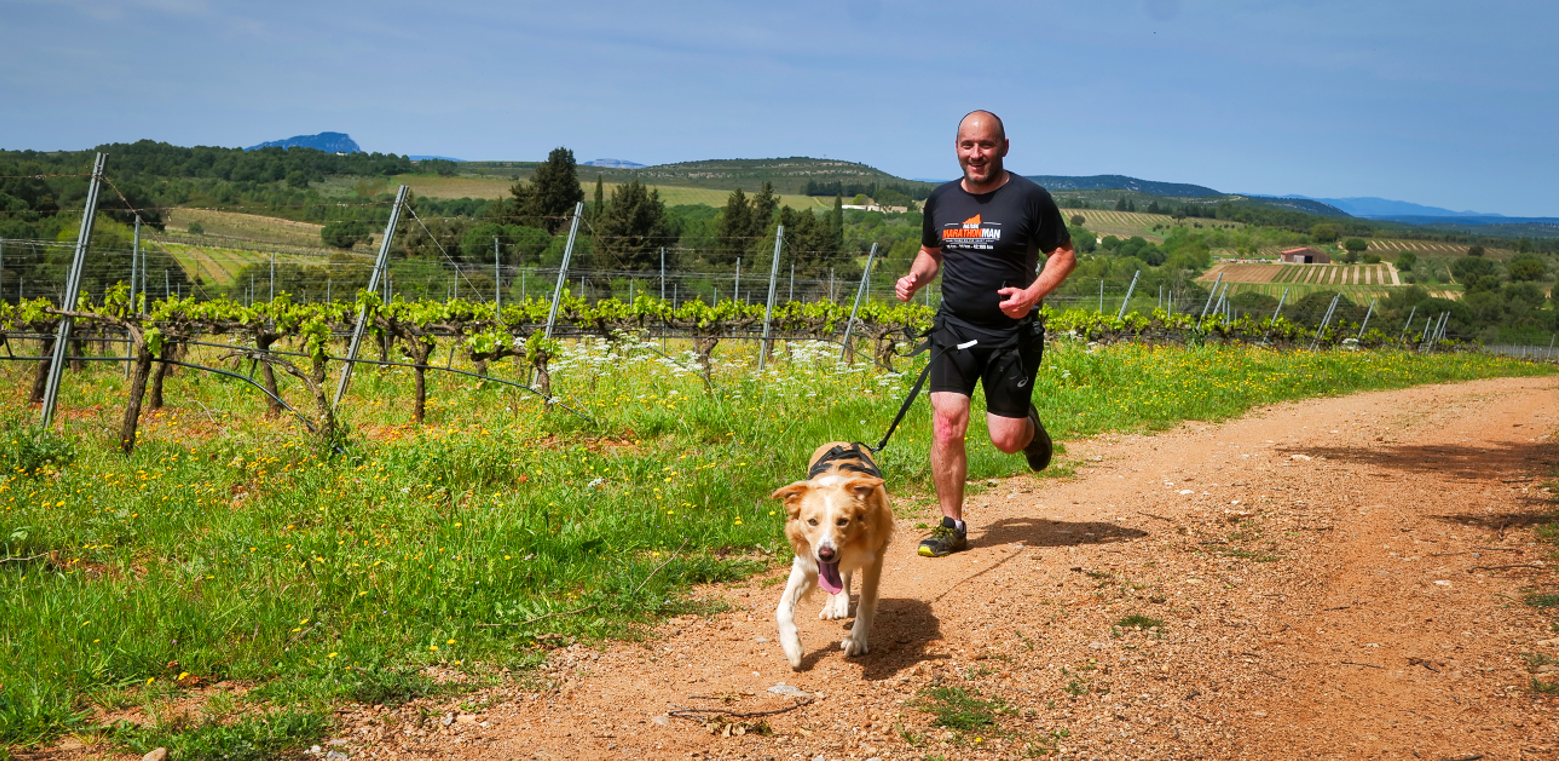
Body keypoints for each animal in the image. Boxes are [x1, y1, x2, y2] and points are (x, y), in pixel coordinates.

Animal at [773, 442, 897, 667]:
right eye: (812, 521)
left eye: (843, 521)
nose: (826, 553)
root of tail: (843, 443)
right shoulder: (806, 561)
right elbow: (783, 606)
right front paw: (792, 647)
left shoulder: (874, 559)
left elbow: (865, 603)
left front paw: (856, 640)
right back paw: (834, 604)